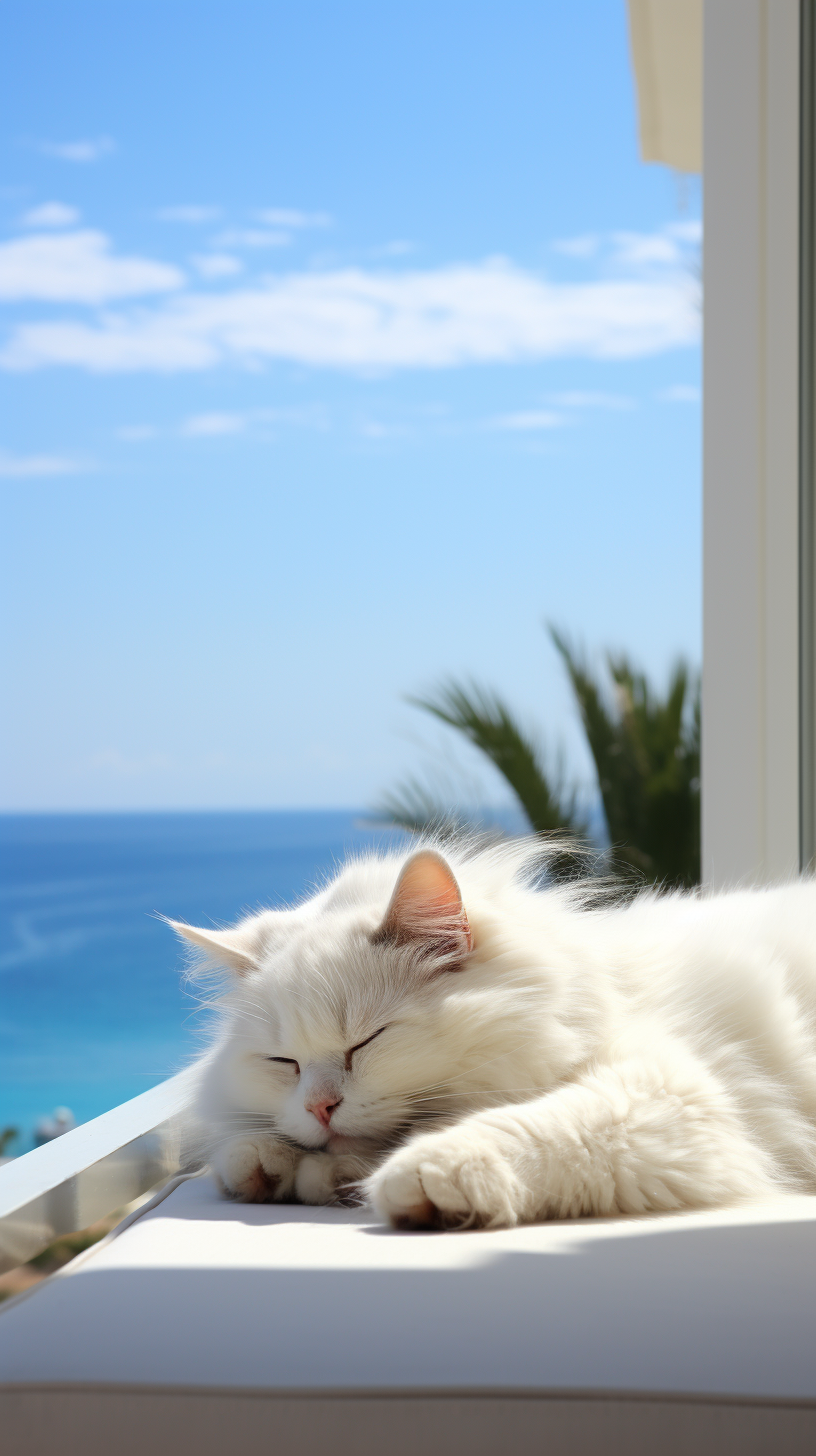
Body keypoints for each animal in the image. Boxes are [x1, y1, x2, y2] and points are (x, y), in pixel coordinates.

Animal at [171, 844, 816, 1228]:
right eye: (283, 1062)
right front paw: (269, 1163)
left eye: (368, 1041)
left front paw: (422, 1174)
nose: (320, 1107)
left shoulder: (669, 1095)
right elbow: (260, 1147)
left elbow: (537, 1126)